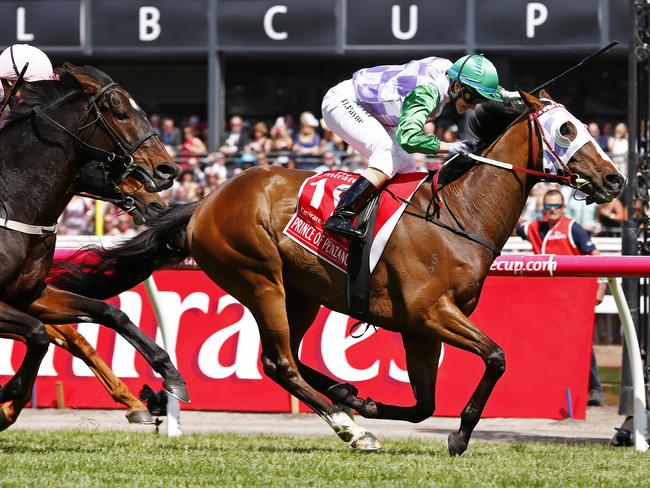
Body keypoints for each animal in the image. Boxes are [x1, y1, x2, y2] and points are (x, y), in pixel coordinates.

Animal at [0, 63, 190, 430]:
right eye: (121, 114)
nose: (168, 170)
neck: (12, 202)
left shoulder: (29, 295)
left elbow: (109, 313)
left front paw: (170, 375)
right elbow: (40, 334)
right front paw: (8, 395)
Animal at [54, 93, 624, 456]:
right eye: (567, 129)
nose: (615, 179)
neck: (458, 212)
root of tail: (204, 202)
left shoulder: (420, 326)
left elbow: (424, 404)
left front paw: (369, 399)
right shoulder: (430, 313)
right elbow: (497, 357)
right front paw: (459, 436)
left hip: (301, 293)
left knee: (287, 358)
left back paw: (345, 398)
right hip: (260, 279)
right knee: (279, 362)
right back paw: (351, 428)